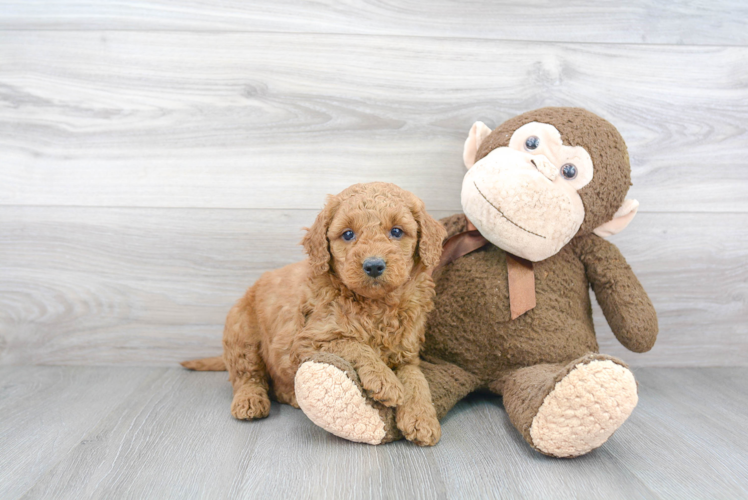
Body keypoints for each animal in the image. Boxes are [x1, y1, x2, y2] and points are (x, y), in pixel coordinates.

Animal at [184, 183, 448, 446]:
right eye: (348, 234)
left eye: (396, 231)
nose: (373, 265)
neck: (375, 305)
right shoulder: (309, 339)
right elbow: (354, 344)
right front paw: (385, 381)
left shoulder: (407, 352)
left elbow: (416, 378)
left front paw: (422, 419)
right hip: (241, 332)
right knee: (247, 375)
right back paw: (249, 401)